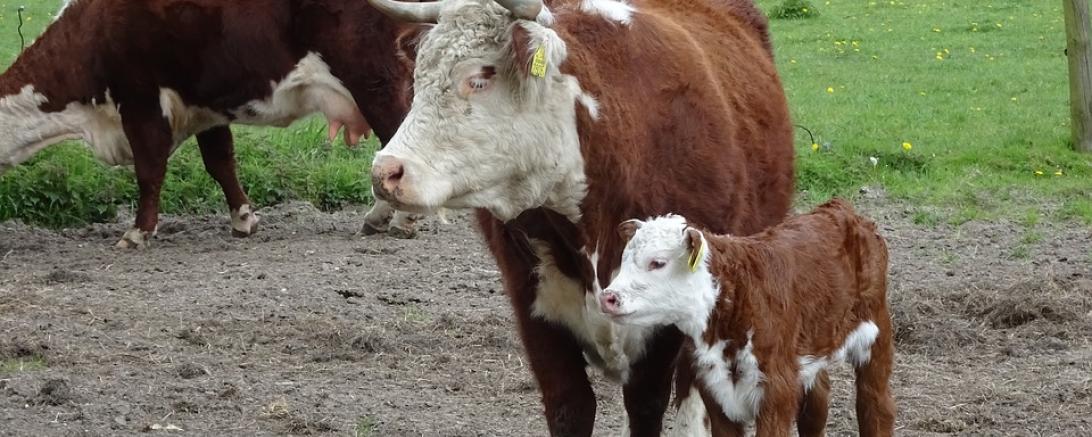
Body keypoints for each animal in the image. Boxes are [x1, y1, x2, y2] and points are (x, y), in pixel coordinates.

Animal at [0, 0, 422, 248]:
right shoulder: (204, 107)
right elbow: (220, 163)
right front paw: (243, 219)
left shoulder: (140, 100)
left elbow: (149, 170)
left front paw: (138, 232)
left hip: (373, 78)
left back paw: (392, 219)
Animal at [365, 0, 795, 435]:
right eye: (419, 76)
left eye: (480, 78)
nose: (386, 171)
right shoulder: (533, 303)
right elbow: (569, 406)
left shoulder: (670, 331)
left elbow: (650, 405)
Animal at [598, 200, 896, 436]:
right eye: (624, 258)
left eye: (658, 263)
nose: (608, 297)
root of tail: (841, 209)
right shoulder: (715, 391)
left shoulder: (776, 392)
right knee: (817, 403)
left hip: (877, 332)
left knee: (876, 405)